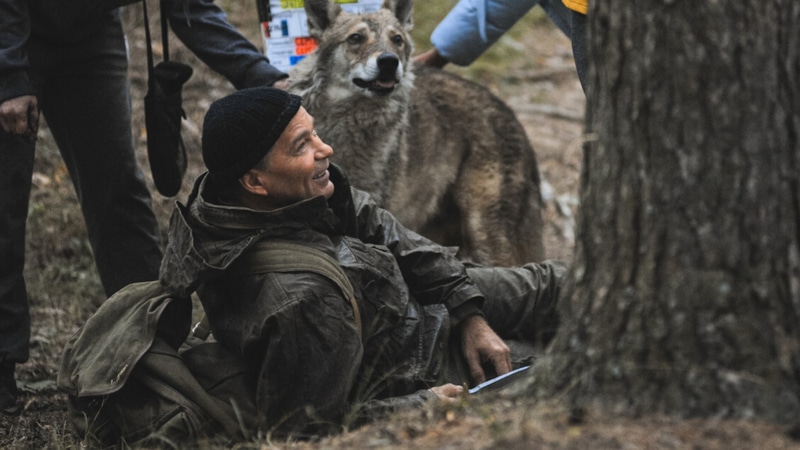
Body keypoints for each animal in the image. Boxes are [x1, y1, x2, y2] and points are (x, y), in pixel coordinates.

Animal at [288, 0, 544, 266]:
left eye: (397, 39)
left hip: (484, 233)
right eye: (356, 38)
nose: (389, 61)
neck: (347, 123)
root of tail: (512, 115)